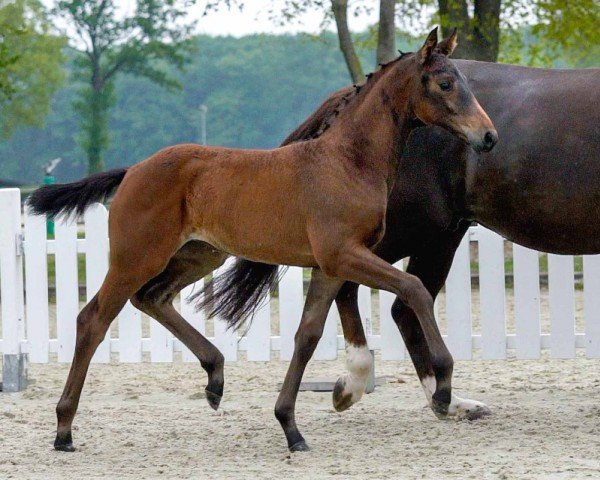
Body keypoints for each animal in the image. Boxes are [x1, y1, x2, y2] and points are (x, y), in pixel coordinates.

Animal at [27, 28, 496, 452]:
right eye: (445, 83)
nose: (488, 136)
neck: (347, 161)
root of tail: (132, 170)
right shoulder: (344, 254)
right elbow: (414, 289)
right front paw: (444, 385)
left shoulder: (330, 265)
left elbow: (307, 336)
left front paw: (291, 427)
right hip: (136, 257)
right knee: (93, 320)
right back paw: (64, 429)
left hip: (200, 256)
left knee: (152, 298)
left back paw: (215, 377)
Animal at [203, 61, 600, 420]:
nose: (488, 138)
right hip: (409, 233)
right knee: (371, 293)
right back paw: (367, 384)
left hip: (436, 238)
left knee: (396, 305)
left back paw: (444, 401)